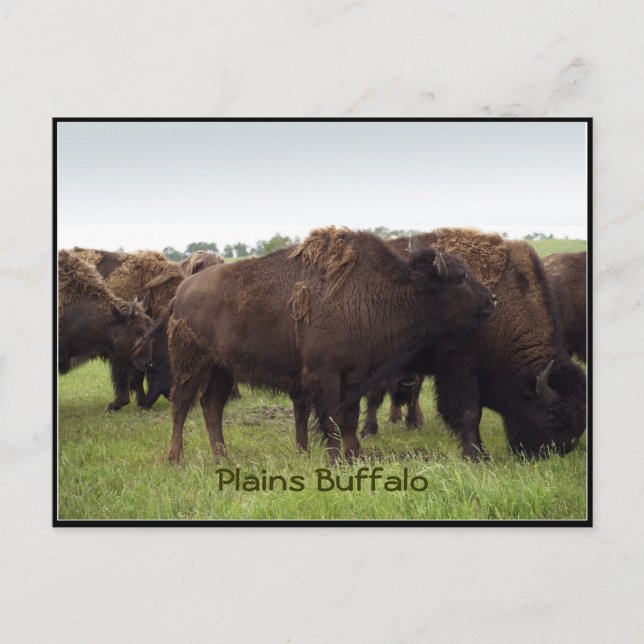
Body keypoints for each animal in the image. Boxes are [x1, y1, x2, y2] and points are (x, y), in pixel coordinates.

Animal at [166, 226, 496, 463]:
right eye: (461, 277)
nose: (491, 299)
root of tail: (183, 290)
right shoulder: (326, 377)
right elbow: (334, 420)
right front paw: (338, 458)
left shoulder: (354, 378)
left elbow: (349, 418)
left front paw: (354, 455)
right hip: (190, 365)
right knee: (181, 405)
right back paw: (176, 458)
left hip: (222, 369)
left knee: (211, 406)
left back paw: (222, 456)